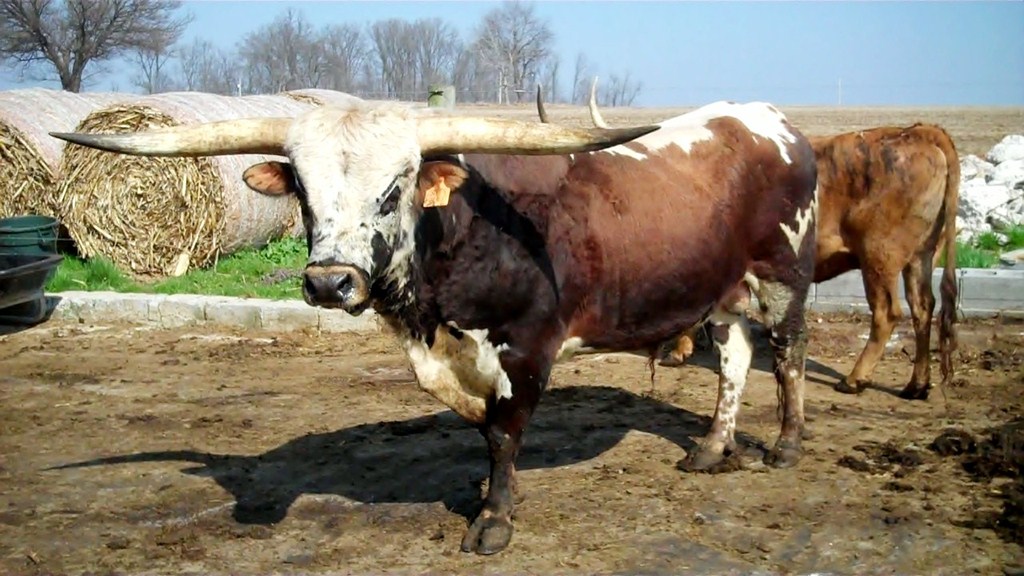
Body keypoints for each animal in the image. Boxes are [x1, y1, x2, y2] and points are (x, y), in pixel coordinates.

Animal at [52, 99, 818, 555]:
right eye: (301, 188)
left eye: (395, 187)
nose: (329, 282)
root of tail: (769, 120)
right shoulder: (454, 355)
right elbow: (481, 429)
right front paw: (494, 495)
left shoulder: (527, 346)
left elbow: (505, 434)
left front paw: (495, 521)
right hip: (725, 292)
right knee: (734, 361)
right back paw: (711, 450)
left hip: (786, 276)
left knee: (786, 355)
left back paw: (785, 446)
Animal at [554, 87, 960, 400]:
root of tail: (917, 132)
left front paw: (680, 350)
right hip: (921, 256)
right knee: (924, 307)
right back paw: (916, 385)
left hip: (880, 255)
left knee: (888, 312)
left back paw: (855, 378)